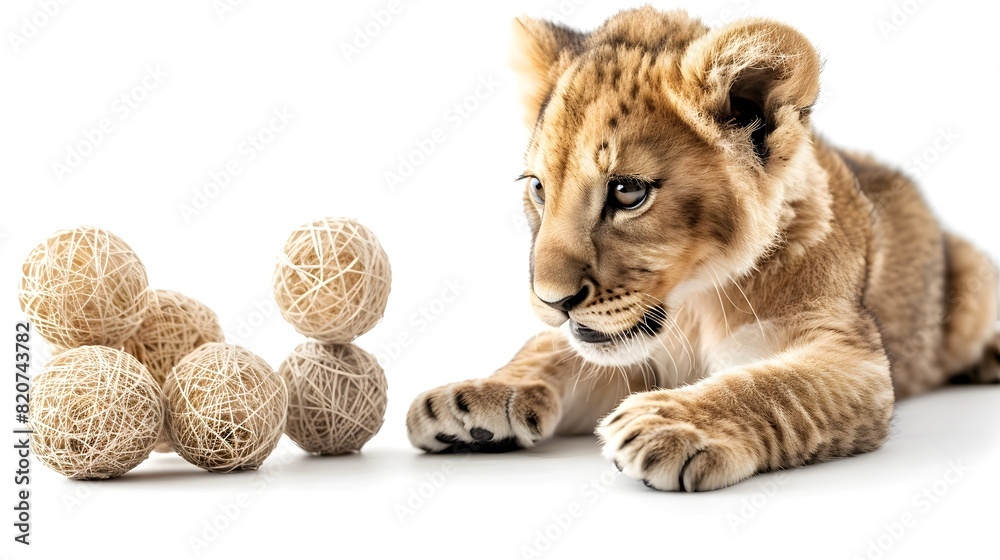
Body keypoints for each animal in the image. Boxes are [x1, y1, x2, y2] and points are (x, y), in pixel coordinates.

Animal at [405, 7, 999, 491]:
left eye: (627, 191)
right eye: (538, 189)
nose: (552, 302)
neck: (691, 306)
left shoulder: (855, 359)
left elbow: (773, 385)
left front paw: (669, 425)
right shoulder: (628, 355)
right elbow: (548, 352)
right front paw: (475, 397)